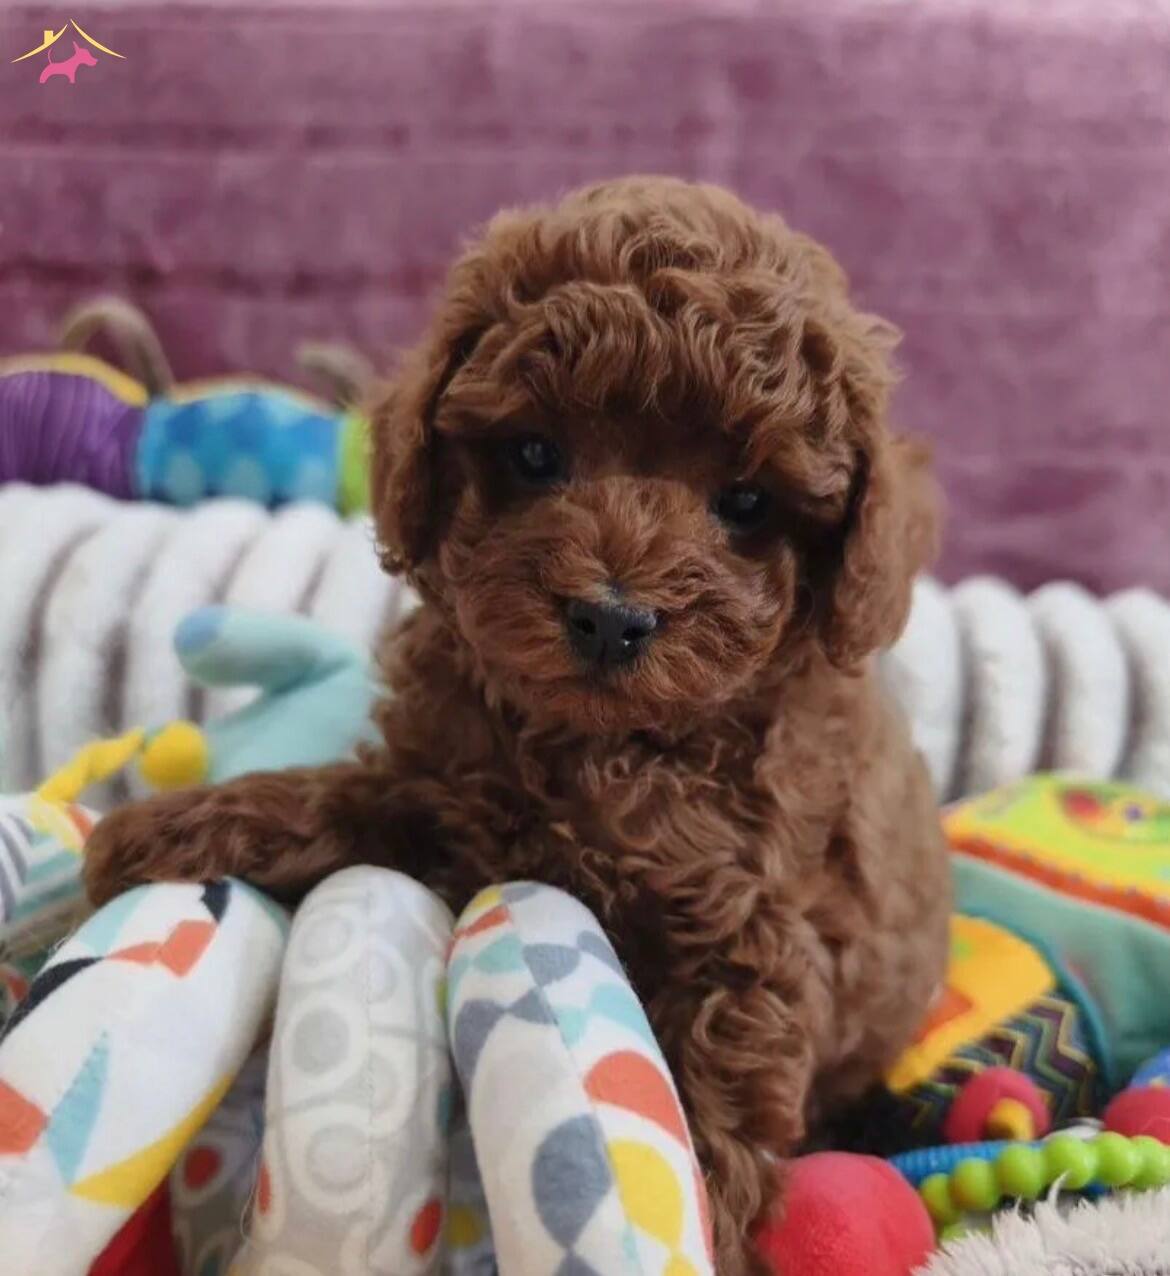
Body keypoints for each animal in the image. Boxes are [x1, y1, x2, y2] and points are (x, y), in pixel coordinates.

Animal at [84, 177, 952, 1274]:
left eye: (747, 502)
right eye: (537, 454)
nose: (612, 616)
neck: (599, 749)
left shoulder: (755, 949)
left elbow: (713, 1110)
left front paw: (704, 1224)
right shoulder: (436, 797)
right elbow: (333, 802)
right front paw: (170, 827)